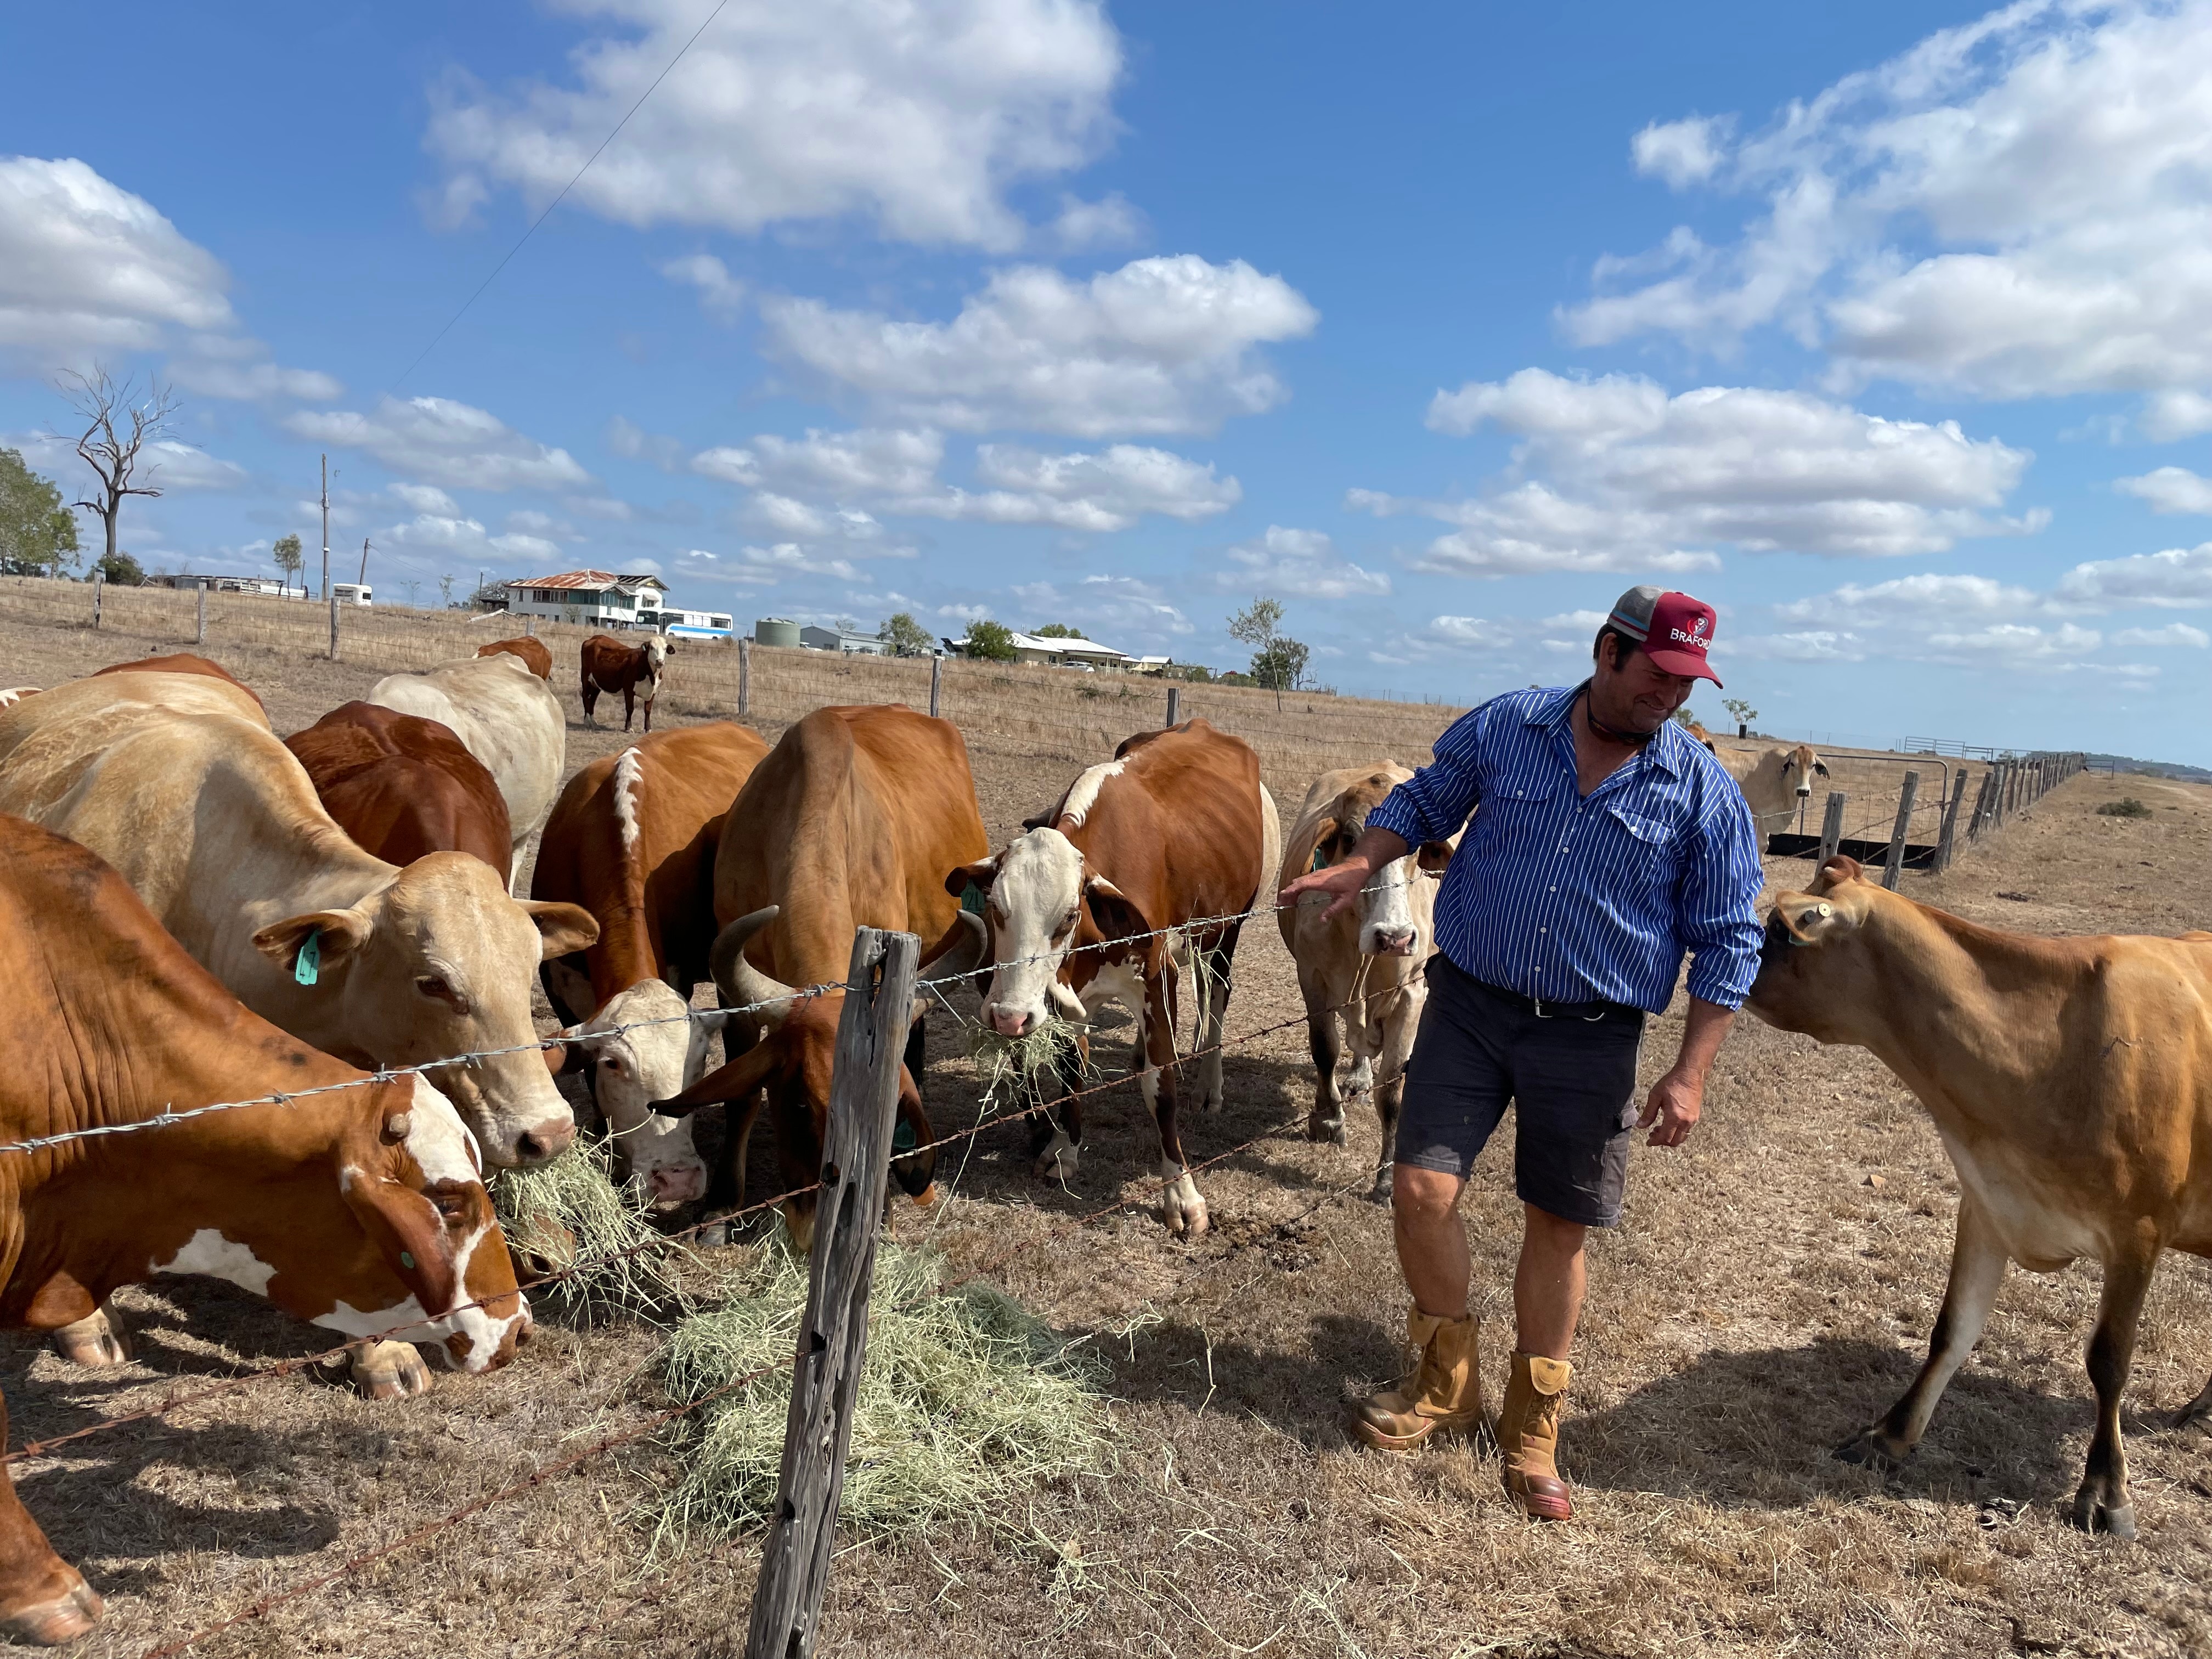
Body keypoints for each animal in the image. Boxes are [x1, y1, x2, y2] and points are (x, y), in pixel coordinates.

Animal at [580, 632, 670, 732]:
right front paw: (629, 728)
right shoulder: (629, 690)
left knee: (593, 699)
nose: (660, 661)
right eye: (652, 647)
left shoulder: (653, 692)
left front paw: (648, 729)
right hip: (586, 678)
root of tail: (596, 637)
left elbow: (648, 710)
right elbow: (630, 709)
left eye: (665, 648)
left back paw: (594, 722)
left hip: (596, 683)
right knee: (585, 696)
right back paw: (587, 721)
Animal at [644, 705, 989, 1247]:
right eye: (803, 1105)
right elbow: (742, 1095)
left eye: (891, 1110)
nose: (828, 1223)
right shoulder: (732, 995)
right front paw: (721, 1206)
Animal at [946, 718, 1282, 1237]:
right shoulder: (1067, 998)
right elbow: (1072, 1072)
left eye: (1068, 916)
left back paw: (1210, 1085)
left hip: (1227, 931)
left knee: (1218, 995)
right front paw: (1065, 1151)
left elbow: (1161, 1089)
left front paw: (1182, 1195)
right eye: (997, 908)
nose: (1008, 1017)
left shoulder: (1159, 977)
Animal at [1276, 764, 1455, 1200]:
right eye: (1351, 839)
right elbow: (1324, 1051)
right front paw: (1328, 1121)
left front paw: (1387, 1177)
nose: (1394, 937)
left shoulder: (1411, 994)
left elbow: (1392, 1090)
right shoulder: (1313, 980)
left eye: (1415, 846)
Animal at [1747, 855, 2212, 1540]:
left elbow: (2109, 1359)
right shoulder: (1987, 1202)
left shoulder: (2140, 1230)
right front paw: (1891, 1435)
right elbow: (1952, 1330)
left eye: (1780, 930)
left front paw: (2105, 1492)